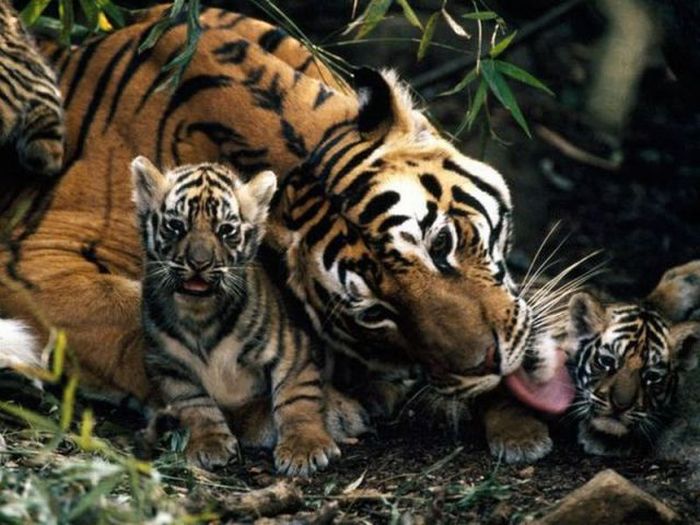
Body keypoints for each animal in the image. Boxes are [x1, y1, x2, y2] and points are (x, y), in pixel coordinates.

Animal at [133, 156, 341, 475]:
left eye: (226, 230)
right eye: (176, 225)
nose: (199, 263)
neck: (200, 316)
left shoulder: (293, 350)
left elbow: (297, 397)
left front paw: (304, 448)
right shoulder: (167, 365)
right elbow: (194, 404)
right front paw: (210, 444)